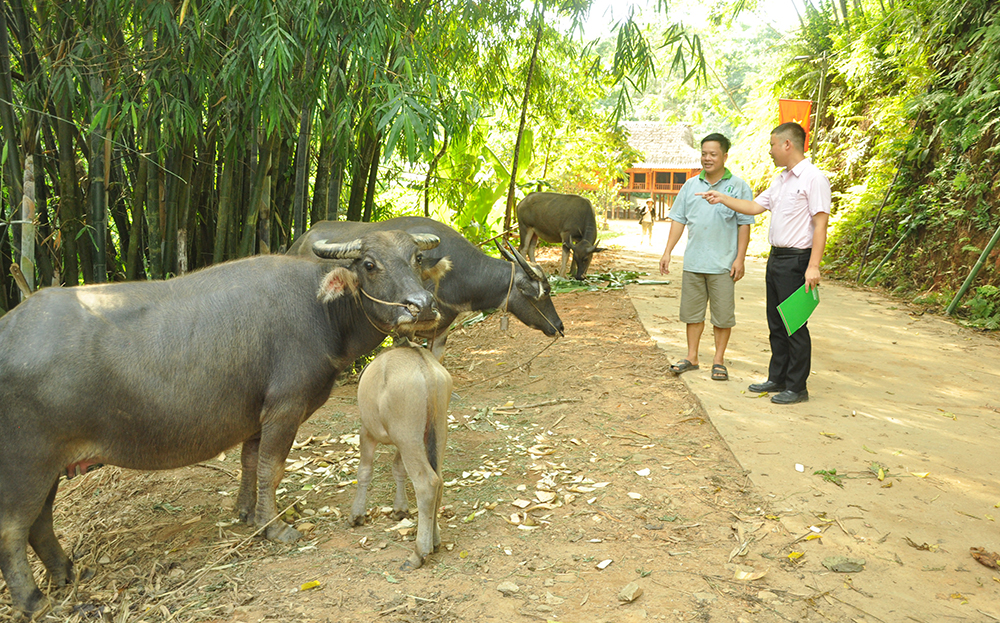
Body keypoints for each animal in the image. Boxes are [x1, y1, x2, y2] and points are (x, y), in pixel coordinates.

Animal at [288, 217, 564, 358]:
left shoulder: (441, 331)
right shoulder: (405, 330)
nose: (559, 327)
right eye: (545, 292)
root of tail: (300, 240)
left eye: (418, 258)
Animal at [348, 344, 450, 572]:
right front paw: (400, 508)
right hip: (435, 432)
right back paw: (435, 540)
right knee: (439, 480)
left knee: (427, 483)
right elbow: (398, 468)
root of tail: (426, 368)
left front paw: (357, 515)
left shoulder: (367, 432)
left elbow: (364, 471)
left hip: (408, 437)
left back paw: (418, 553)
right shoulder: (399, 442)